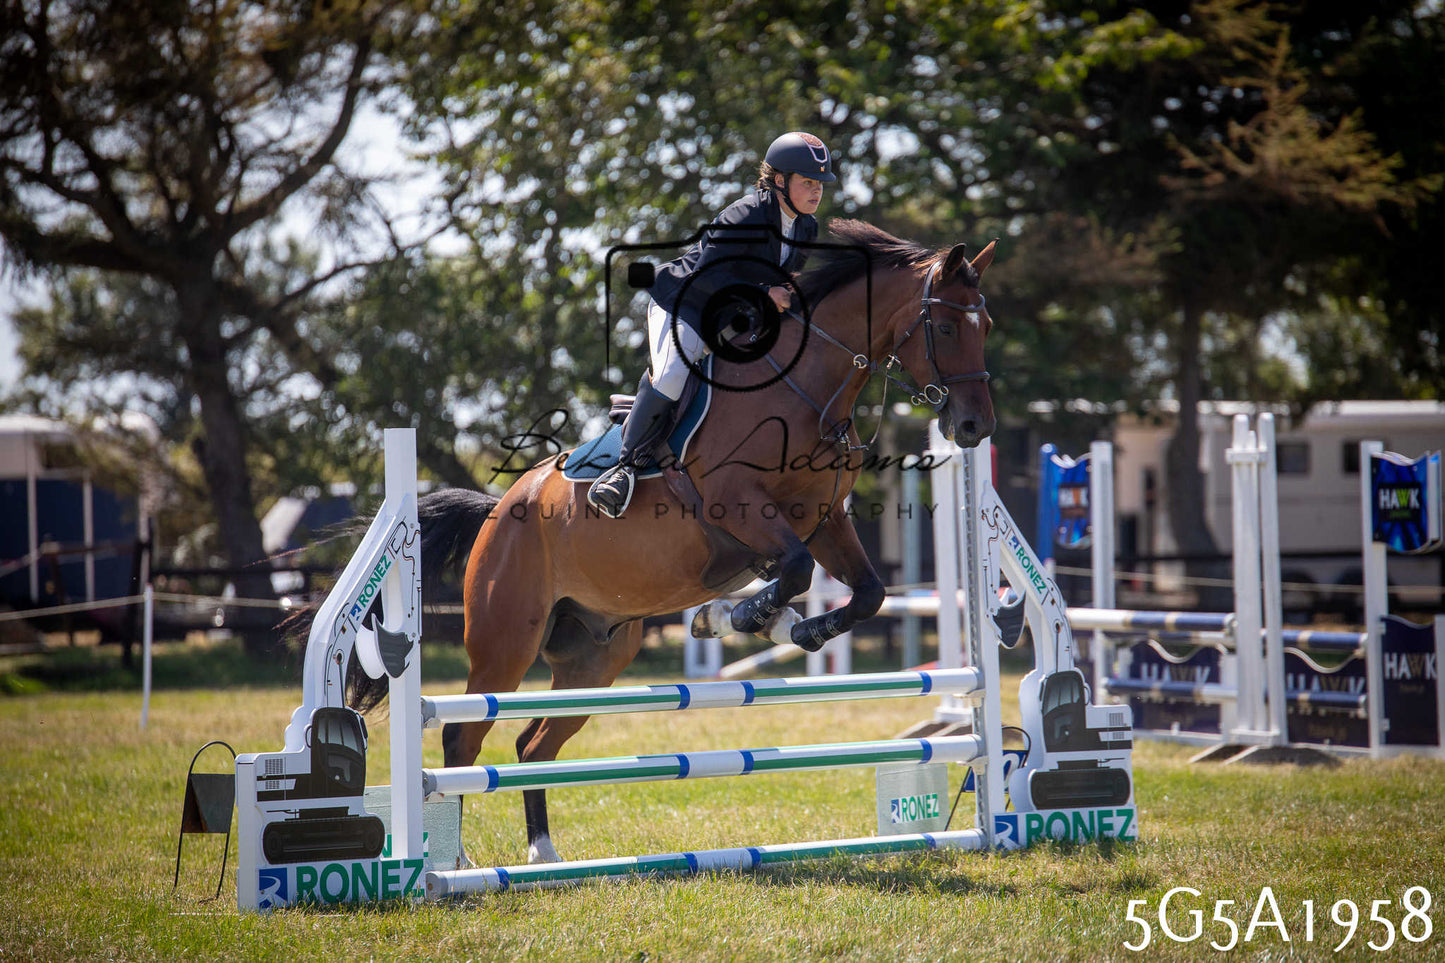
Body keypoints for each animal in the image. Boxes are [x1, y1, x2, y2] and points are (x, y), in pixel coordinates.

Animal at [348, 218, 997, 864]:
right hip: (505, 641)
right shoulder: (738, 504)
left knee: (534, 745)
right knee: (463, 736)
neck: (806, 390)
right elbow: (794, 570)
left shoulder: (825, 519)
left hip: (596, 659)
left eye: (985, 327)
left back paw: (543, 853)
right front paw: (742, 618)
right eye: (943, 326)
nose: (974, 426)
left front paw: (785, 627)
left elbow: (866, 594)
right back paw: (450, 862)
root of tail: (499, 509)